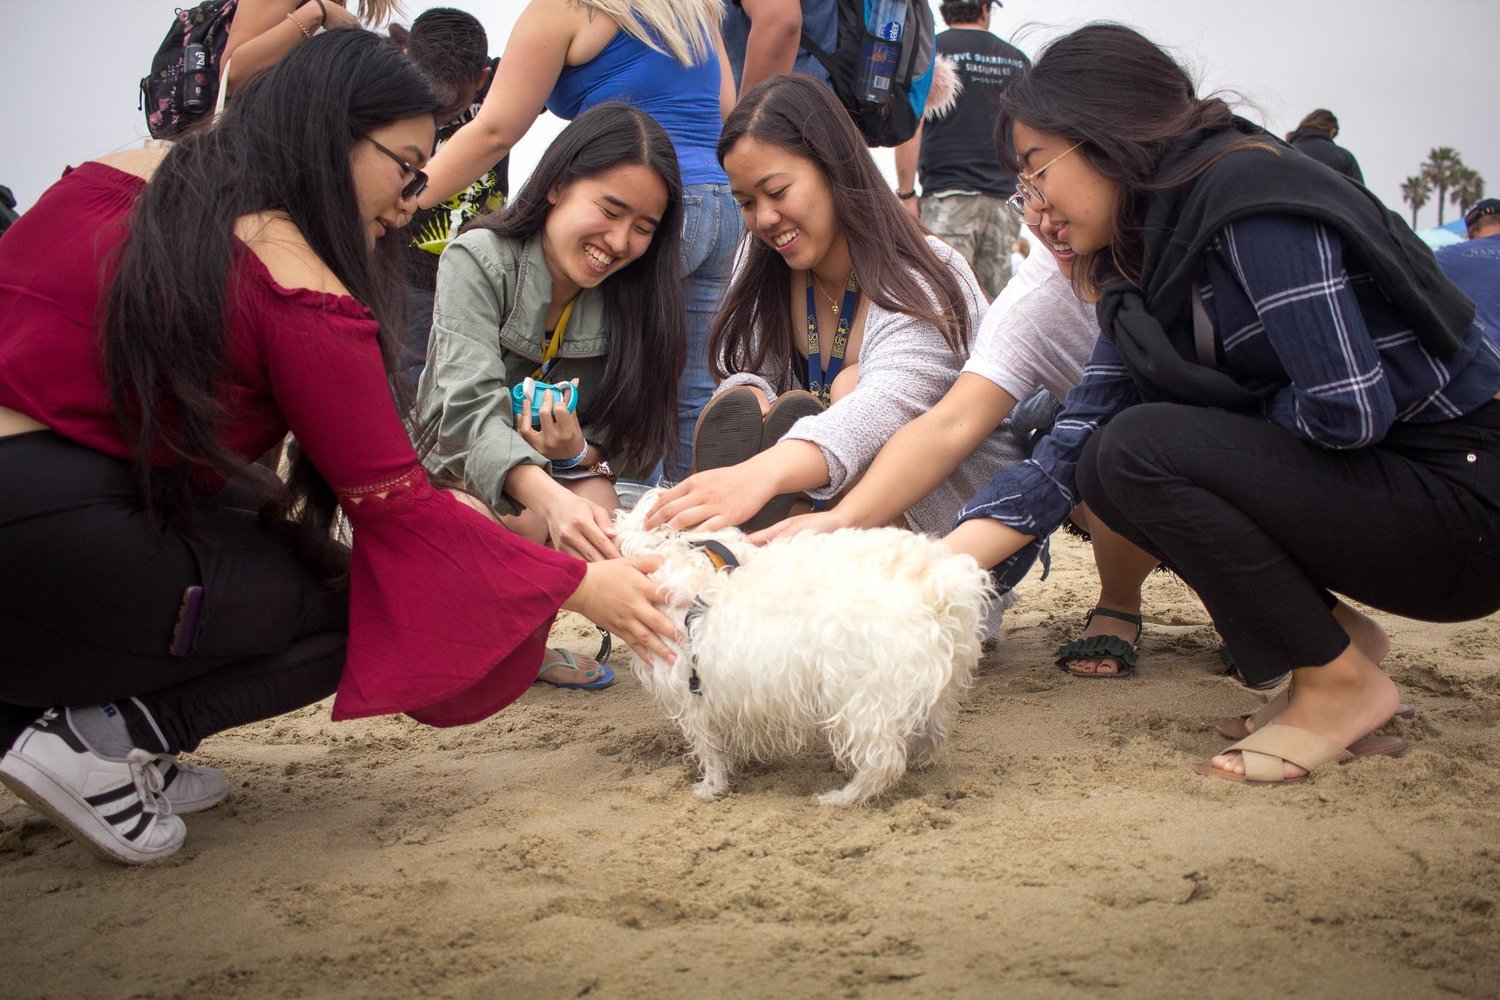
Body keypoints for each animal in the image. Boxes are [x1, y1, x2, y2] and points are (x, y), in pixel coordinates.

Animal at [609, 497, 996, 809]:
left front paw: (711, 787)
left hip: (861, 695)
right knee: (933, 734)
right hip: (936, 684)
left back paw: (843, 798)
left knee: (883, 760)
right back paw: (918, 762)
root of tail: (938, 583)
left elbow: (708, 747)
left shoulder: (694, 695)